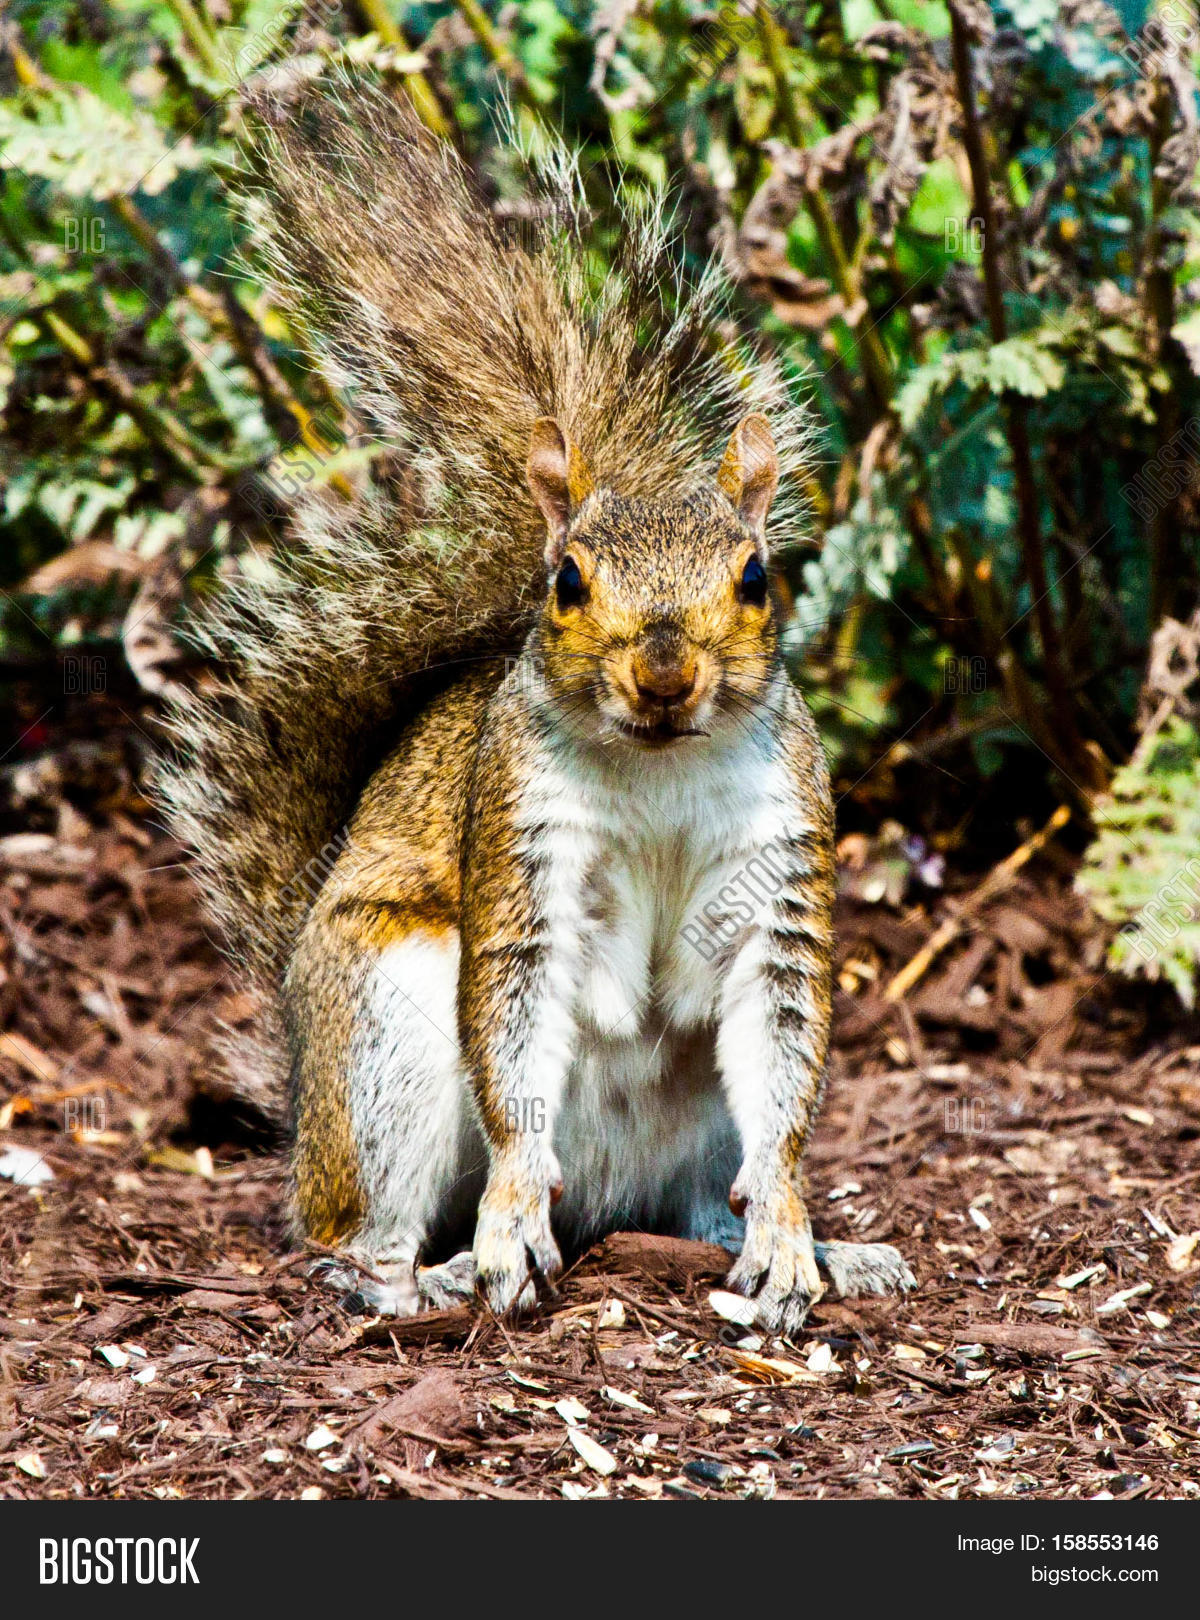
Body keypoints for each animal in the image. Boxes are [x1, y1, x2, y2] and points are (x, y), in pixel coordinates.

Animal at [161, 77, 914, 1335]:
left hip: (690, 1136)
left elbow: (783, 1059)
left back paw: (809, 1249)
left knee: (699, 1206)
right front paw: (512, 1220)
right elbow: (515, 1037)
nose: (664, 673)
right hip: (388, 1038)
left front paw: (793, 1230)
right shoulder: (521, 847)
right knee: (350, 1233)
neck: (658, 765)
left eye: (756, 578)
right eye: (566, 581)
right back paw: (424, 1272)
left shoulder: (777, 865)